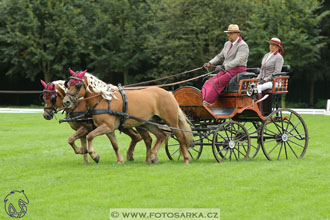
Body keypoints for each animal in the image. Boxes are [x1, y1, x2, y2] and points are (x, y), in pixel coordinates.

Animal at [62, 69, 193, 164]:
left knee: (180, 137)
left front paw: (94, 155)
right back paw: (152, 156)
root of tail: (169, 93)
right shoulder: (108, 129)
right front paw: (120, 160)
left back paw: (186, 158)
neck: (103, 99)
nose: (66, 101)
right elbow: (114, 145)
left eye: (77, 85)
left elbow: (90, 136)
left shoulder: (106, 126)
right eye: (68, 84)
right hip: (148, 122)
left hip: (171, 121)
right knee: (161, 135)